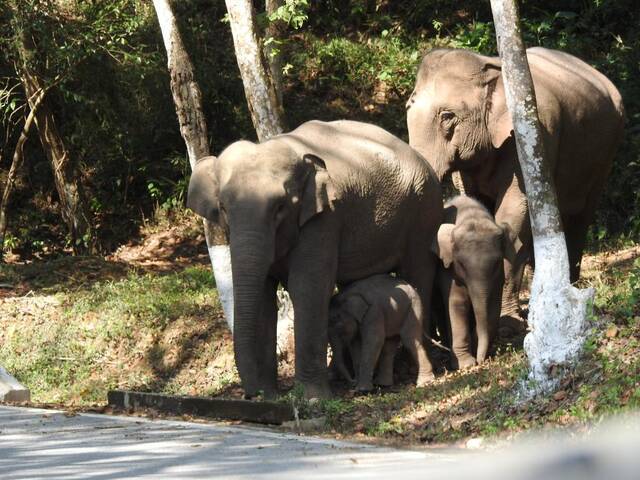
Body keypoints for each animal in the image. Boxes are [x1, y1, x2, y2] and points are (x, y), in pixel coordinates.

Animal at [188, 122, 442, 400]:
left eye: (280, 207)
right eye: (222, 208)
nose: (251, 395)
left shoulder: (325, 218)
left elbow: (308, 288)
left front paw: (312, 397)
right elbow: (264, 297)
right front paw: (271, 396)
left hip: (424, 211)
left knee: (417, 272)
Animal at [404, 47, 624, 328]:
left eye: (447, 117)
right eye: (408, 108)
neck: (490, 67)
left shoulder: (534, 135)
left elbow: (514, 214)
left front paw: (507, 319)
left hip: (606, 153)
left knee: (580, 217)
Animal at [432, 197, 516, 370]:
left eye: (497, 262)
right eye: (461, 264)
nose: (481, 361)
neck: (472, 215)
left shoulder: (497, 275)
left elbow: (493, 303)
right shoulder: (448, 270)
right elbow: (457, 303)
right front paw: (466, 365)